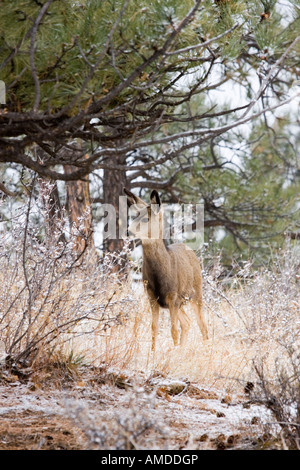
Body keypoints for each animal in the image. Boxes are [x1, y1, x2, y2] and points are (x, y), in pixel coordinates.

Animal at [123, 189, 207, 350]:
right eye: (135, 216)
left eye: (146, 219)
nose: (128, 232)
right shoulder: (152, 297)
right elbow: (154, 328)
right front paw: (153, 353)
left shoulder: (173, 297)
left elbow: (173, 330)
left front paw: (172, 353)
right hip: (180, 303)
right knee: (187, 323)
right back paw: (182, 350)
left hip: (196, 293)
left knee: (202, 325)